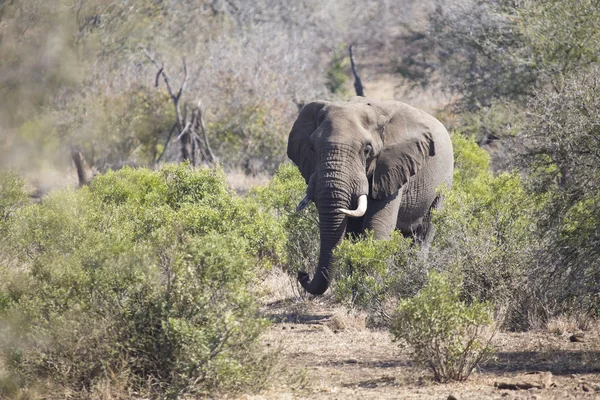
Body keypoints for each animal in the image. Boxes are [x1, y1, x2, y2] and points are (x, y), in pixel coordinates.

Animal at [288, 97, 452, 296]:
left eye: (367, 150)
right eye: (312, 147)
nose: (302, 274)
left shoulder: (391, 167)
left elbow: (377, 226)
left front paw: (370, 290)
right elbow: (351, 231)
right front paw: (356, 289)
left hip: (444, 183)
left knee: (425, 233)